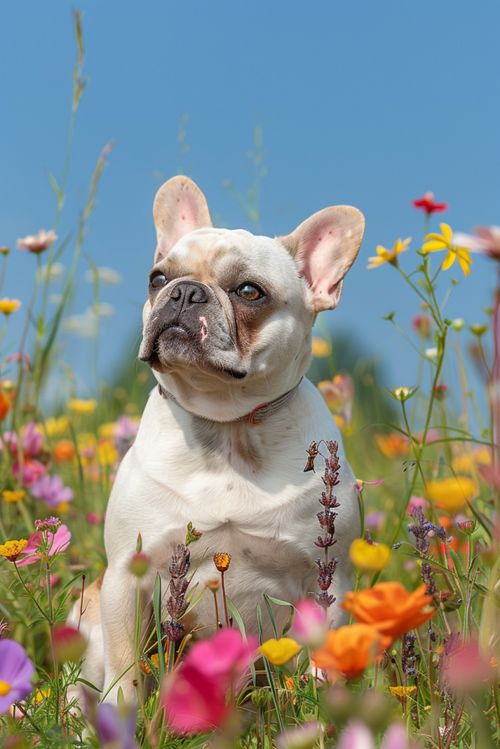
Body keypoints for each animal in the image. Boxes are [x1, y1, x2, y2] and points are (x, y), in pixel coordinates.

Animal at [70, 175, 366, 700]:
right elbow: (126, 672)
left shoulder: (327, 580)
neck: (227, 428)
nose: (185, 293)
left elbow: (323, 659)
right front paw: (120, 712)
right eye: (157, 278)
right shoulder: (127, 575)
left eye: (249, 291)